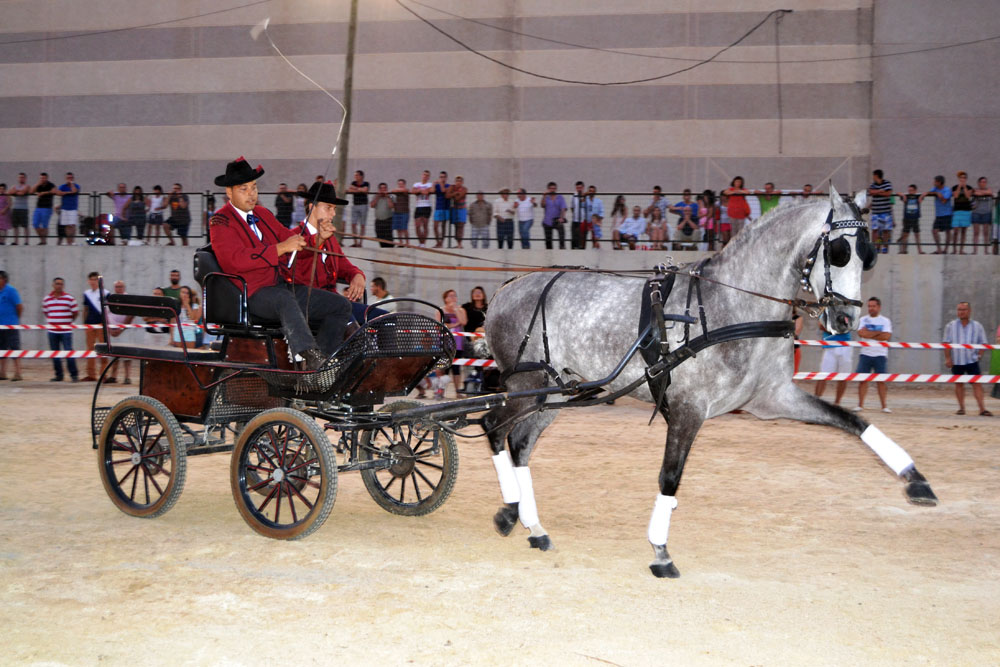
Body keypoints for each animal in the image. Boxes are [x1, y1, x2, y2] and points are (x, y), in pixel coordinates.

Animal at [480, 188, 932, 580]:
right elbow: (670, 476)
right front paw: (660, 552)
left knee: (520, 442)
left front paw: (915, 479)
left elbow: (852, 420)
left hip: (558, 392)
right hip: (530, 384)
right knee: (493, 426)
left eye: (868, 256)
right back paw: (512, 508)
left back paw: (528, 522)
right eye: (839, 251)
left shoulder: (772, 399)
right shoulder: (688, 407)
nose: (845, 319)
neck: (731, 305)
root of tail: (506, 289)